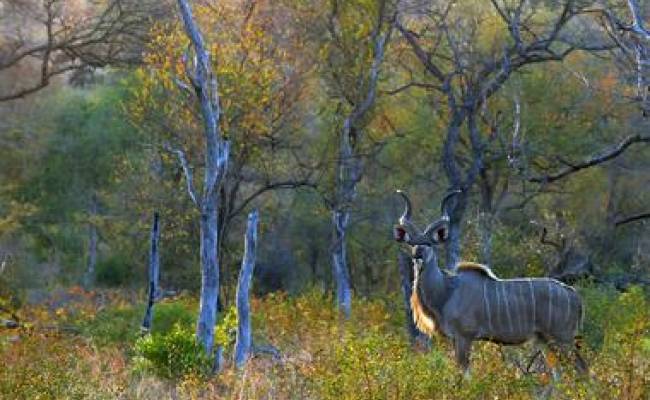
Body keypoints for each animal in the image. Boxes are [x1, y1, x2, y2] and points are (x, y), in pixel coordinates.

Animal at [392, 189, 584, 376]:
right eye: (412, 243)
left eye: (429, 243)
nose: (417, 255)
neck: (446, 291)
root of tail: (574, 295)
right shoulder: (455, 338)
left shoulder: (464, 336)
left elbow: (465, 373)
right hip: (543, 339)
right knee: (557, 371)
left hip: (562, 337)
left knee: (582, 368)